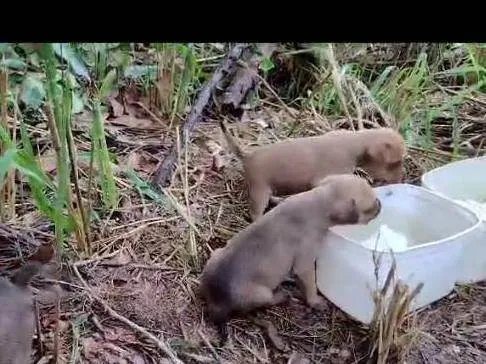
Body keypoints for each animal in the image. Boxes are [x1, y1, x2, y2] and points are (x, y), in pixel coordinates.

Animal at [199, 174, 382, 344]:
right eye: (369, 208)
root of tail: (216, 300)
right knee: (267, 301)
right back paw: (283, 296)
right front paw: (316, 302)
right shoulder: (305, 263)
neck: (318, 202)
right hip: (261, 293)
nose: (380, 203)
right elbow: (311, 285)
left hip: (216, 254)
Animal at [219, 121, 402, 220]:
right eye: (394, 163)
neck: (355, 143)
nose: (400, 179)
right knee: (255, 213)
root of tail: (247, 156)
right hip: (259, 191)